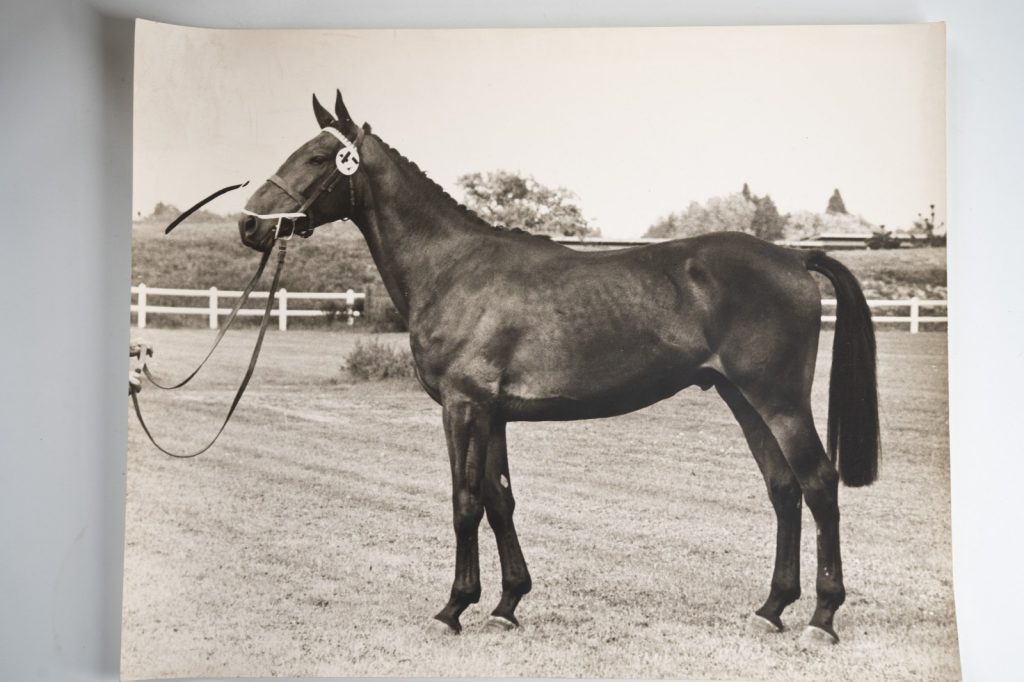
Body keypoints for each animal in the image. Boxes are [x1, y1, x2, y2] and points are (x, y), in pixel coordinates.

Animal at [238, 90, 879, 645]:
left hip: (779, 401)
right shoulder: (493, 414)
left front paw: (453, 608)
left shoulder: (463, 407)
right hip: (742, 399)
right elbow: (499, 499)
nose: (249, 224)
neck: (453, 267)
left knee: (818, 484)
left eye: (315, 157)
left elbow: (465, 502)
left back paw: (822, 618)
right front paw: (506, 605)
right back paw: (771, 609)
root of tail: (793, 256)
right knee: (782, 489)